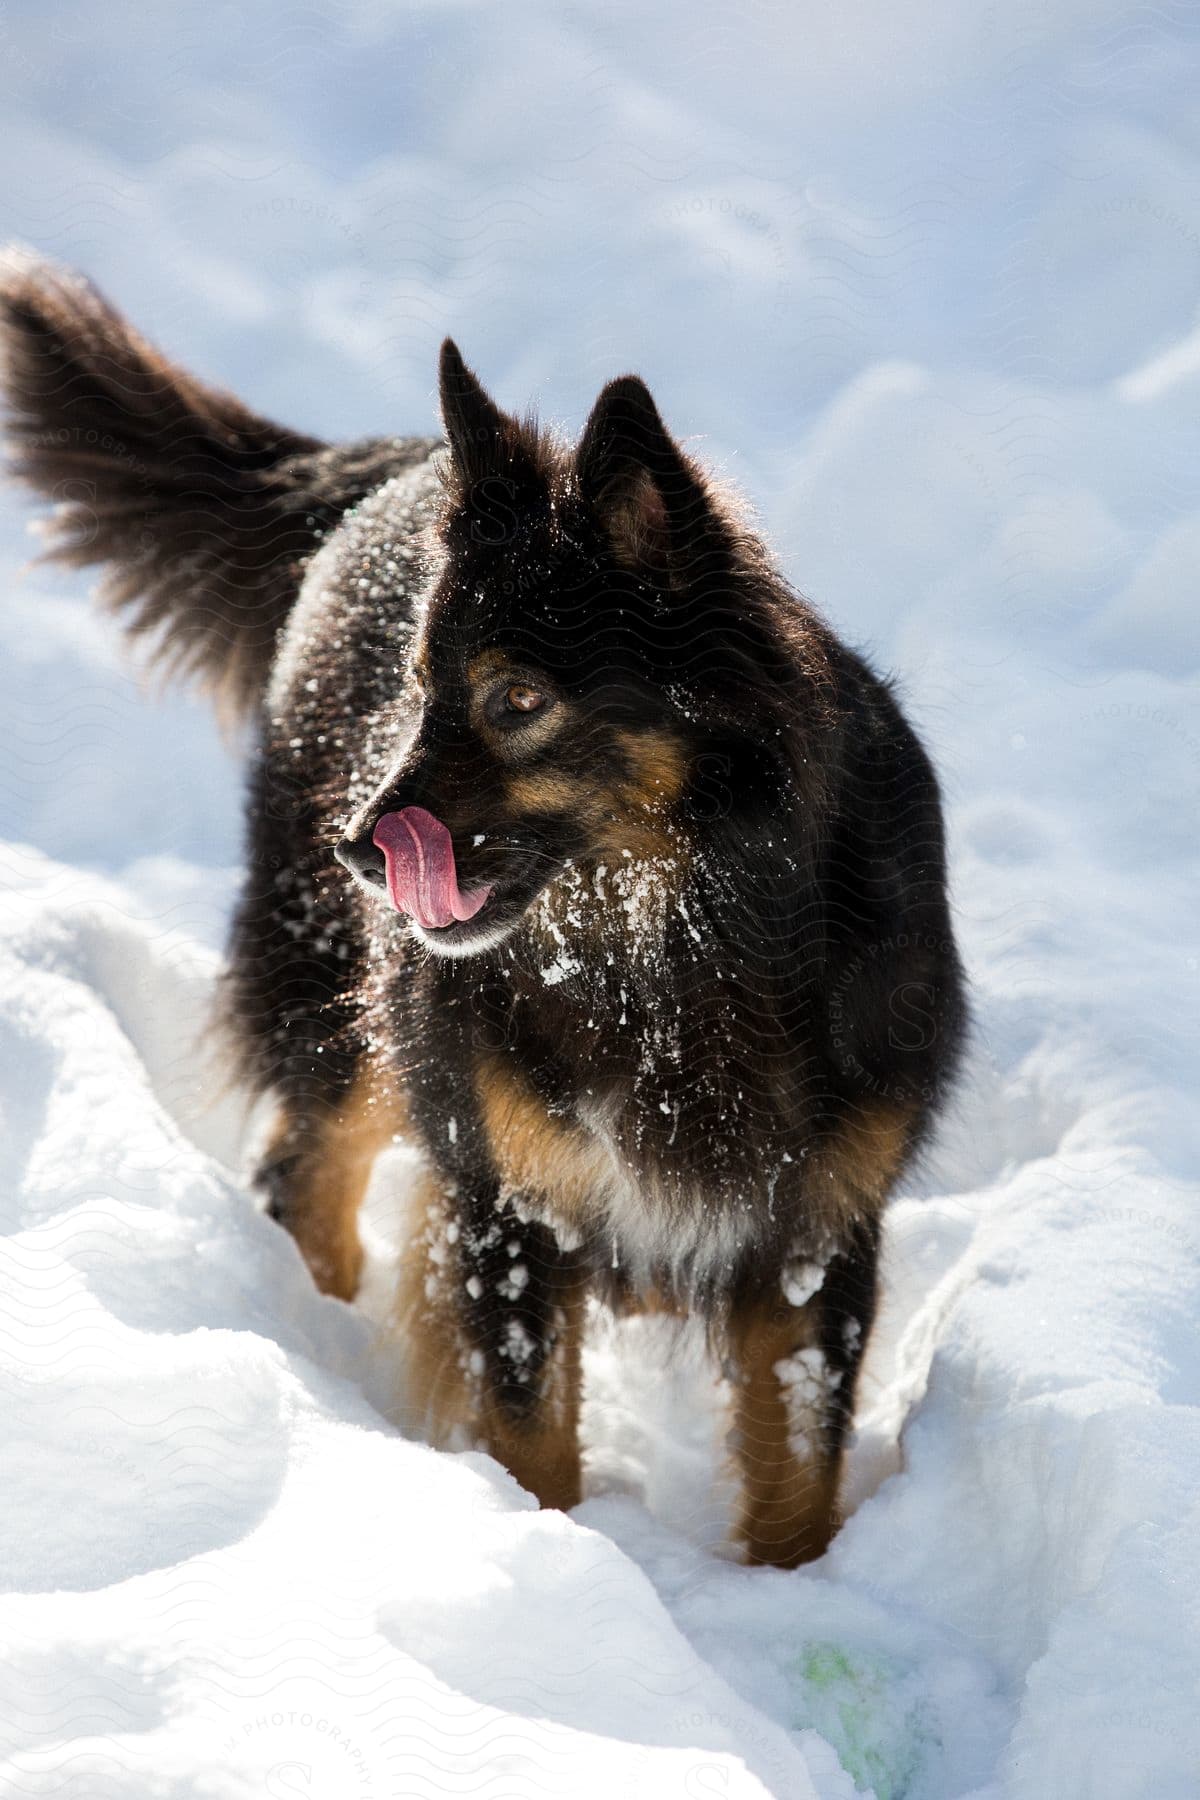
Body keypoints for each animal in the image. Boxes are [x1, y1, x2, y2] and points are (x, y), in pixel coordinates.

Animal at [0, 250, 964, 1562]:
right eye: (419, 690)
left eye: (517, 700)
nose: (356, 848)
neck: (670, 946)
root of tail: (391, 462)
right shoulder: (512, 1215)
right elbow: (534, 1447)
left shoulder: (815, 1241)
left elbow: (796, 1485)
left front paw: (792, 1589)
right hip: (348, 1023)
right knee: (304, 1176)